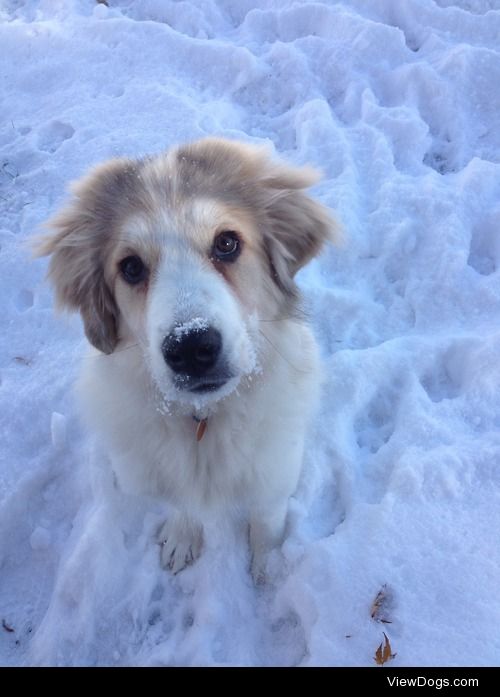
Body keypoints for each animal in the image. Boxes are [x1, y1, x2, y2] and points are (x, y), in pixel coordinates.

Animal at [37, 139, 338, 580]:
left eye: (227, 243)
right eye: (131, 267)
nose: (192, 348)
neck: (204, 418)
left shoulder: (275, 469)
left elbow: (266, 519)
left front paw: (268, 566)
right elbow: (182, 503)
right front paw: (182, 537)